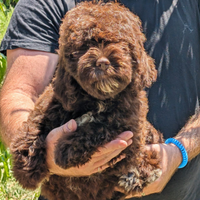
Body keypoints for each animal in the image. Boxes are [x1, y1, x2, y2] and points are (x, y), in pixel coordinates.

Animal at [10, 1, 163, 200]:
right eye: (83, 47)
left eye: (121, 44)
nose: (103, 63)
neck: (97, 99)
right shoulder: (54, 101)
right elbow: (34, 123)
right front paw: (25, 168)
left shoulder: (132, 128)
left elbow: (101, 127)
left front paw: (65, 151)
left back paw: (135, 175)